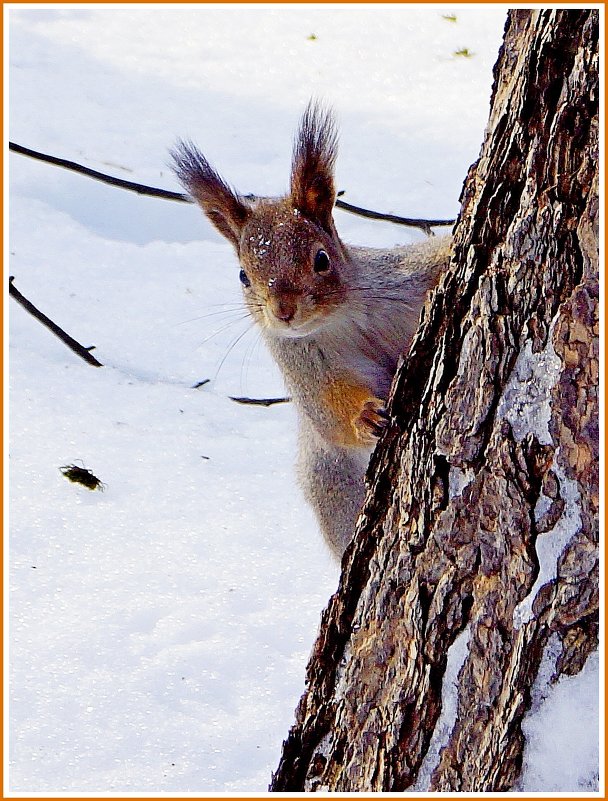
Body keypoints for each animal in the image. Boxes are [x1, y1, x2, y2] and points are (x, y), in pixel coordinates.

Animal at [171, 100, 452, 560]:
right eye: (244, 276)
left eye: (322, 259)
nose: (284, 311)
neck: (341, 320)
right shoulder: (303, 364)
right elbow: (329, 408)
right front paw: (365, 416)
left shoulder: (404, 278)